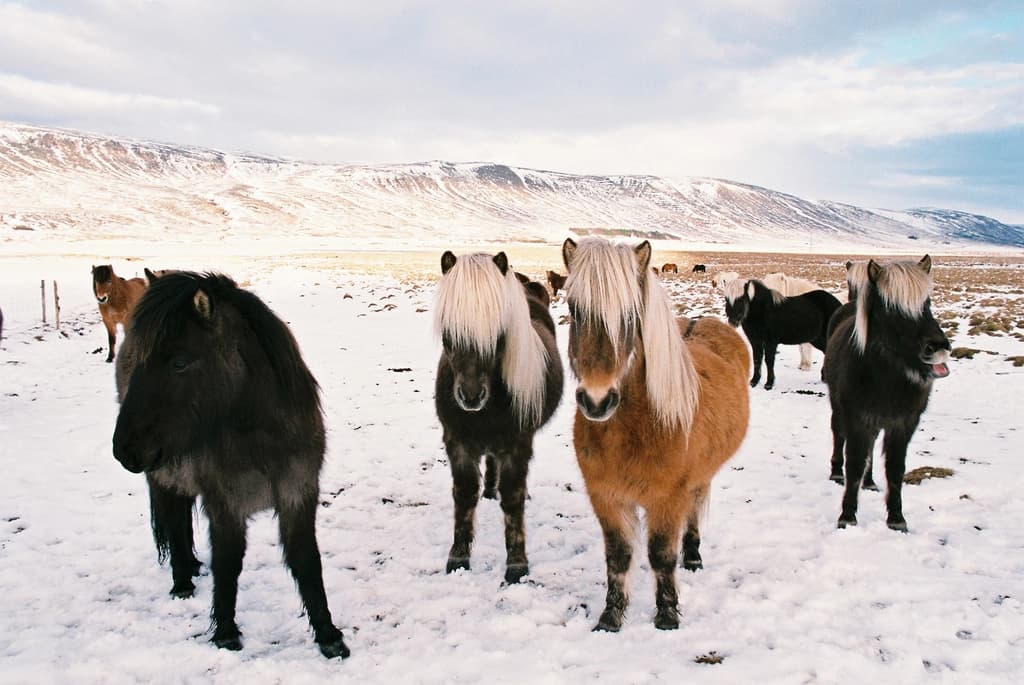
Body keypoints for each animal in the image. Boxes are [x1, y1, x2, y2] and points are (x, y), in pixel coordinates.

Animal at [111, 271, 349, 659]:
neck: (263, 439)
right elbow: (228, 562)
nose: (124, 450)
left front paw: (329, 636)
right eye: (141, 362)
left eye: (179, 362)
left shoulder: (298, 495)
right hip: (163, 475)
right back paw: (182, 582)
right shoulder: (226, 505)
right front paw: (225, 632)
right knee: (174, 521)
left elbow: (307, 561)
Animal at [434, 252, 563, 584]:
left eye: (499, 333)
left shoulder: (517, 445)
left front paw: (517, 565)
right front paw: (458, 557)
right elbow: (465, 495)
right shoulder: (458, 442)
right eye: (448, 330)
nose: (470, 396)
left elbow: (513, 498)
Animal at [561, 237, 750, 631]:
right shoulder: (606, 497)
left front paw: (666, 614)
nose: (597, 401)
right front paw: (610, 616)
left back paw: (692, 555)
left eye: (631, 315)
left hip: (699, 478)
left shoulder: (667, 498)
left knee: (695, 506)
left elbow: (662, 555)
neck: (632, 431)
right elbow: (618, 557)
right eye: (574, 309)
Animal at [825, 256, 950, 531]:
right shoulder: (857, 419)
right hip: (838, 408)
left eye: (927, 302)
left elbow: (895, 468)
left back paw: (870, 481)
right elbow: (855, 462)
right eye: (892, 308)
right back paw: (837, 471)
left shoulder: (904, 423)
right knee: (839, 434)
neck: (887, 378)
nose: (938, 347)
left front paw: (896, 518)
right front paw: (847, 515)